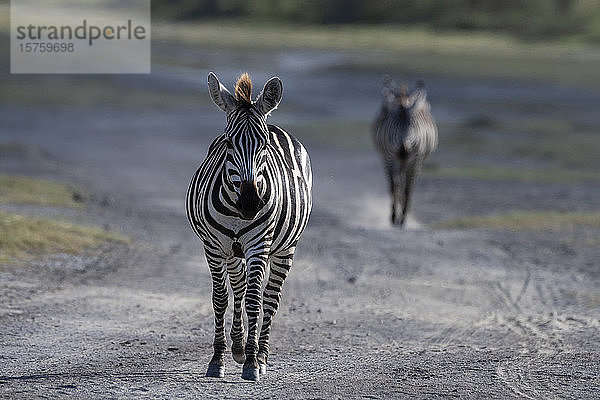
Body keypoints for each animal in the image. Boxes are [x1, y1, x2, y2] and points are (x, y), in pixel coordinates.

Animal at [185, 71, 312, 382]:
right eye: (229, 143)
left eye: (264, 143)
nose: (250, 204)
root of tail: (274, 121)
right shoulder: (213, 247)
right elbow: (221, 298)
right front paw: (218, 358)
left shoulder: (258, 245)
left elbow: (255, 299)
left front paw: (252, 363)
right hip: (233, 250)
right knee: (239, 288)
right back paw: (239, 346)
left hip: (284, 249)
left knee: (270, 298)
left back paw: (260, 354)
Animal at [370, 76, 436, 227]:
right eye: (395, 126)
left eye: (412, 125)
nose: (404, 149)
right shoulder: (389, 157)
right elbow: (395, 186)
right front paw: (395, 216)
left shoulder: (414, 158)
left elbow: (405, 187)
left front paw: (401, 217)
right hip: (397, 158)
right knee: (399, 183)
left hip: (411, 159)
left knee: (403, 183)